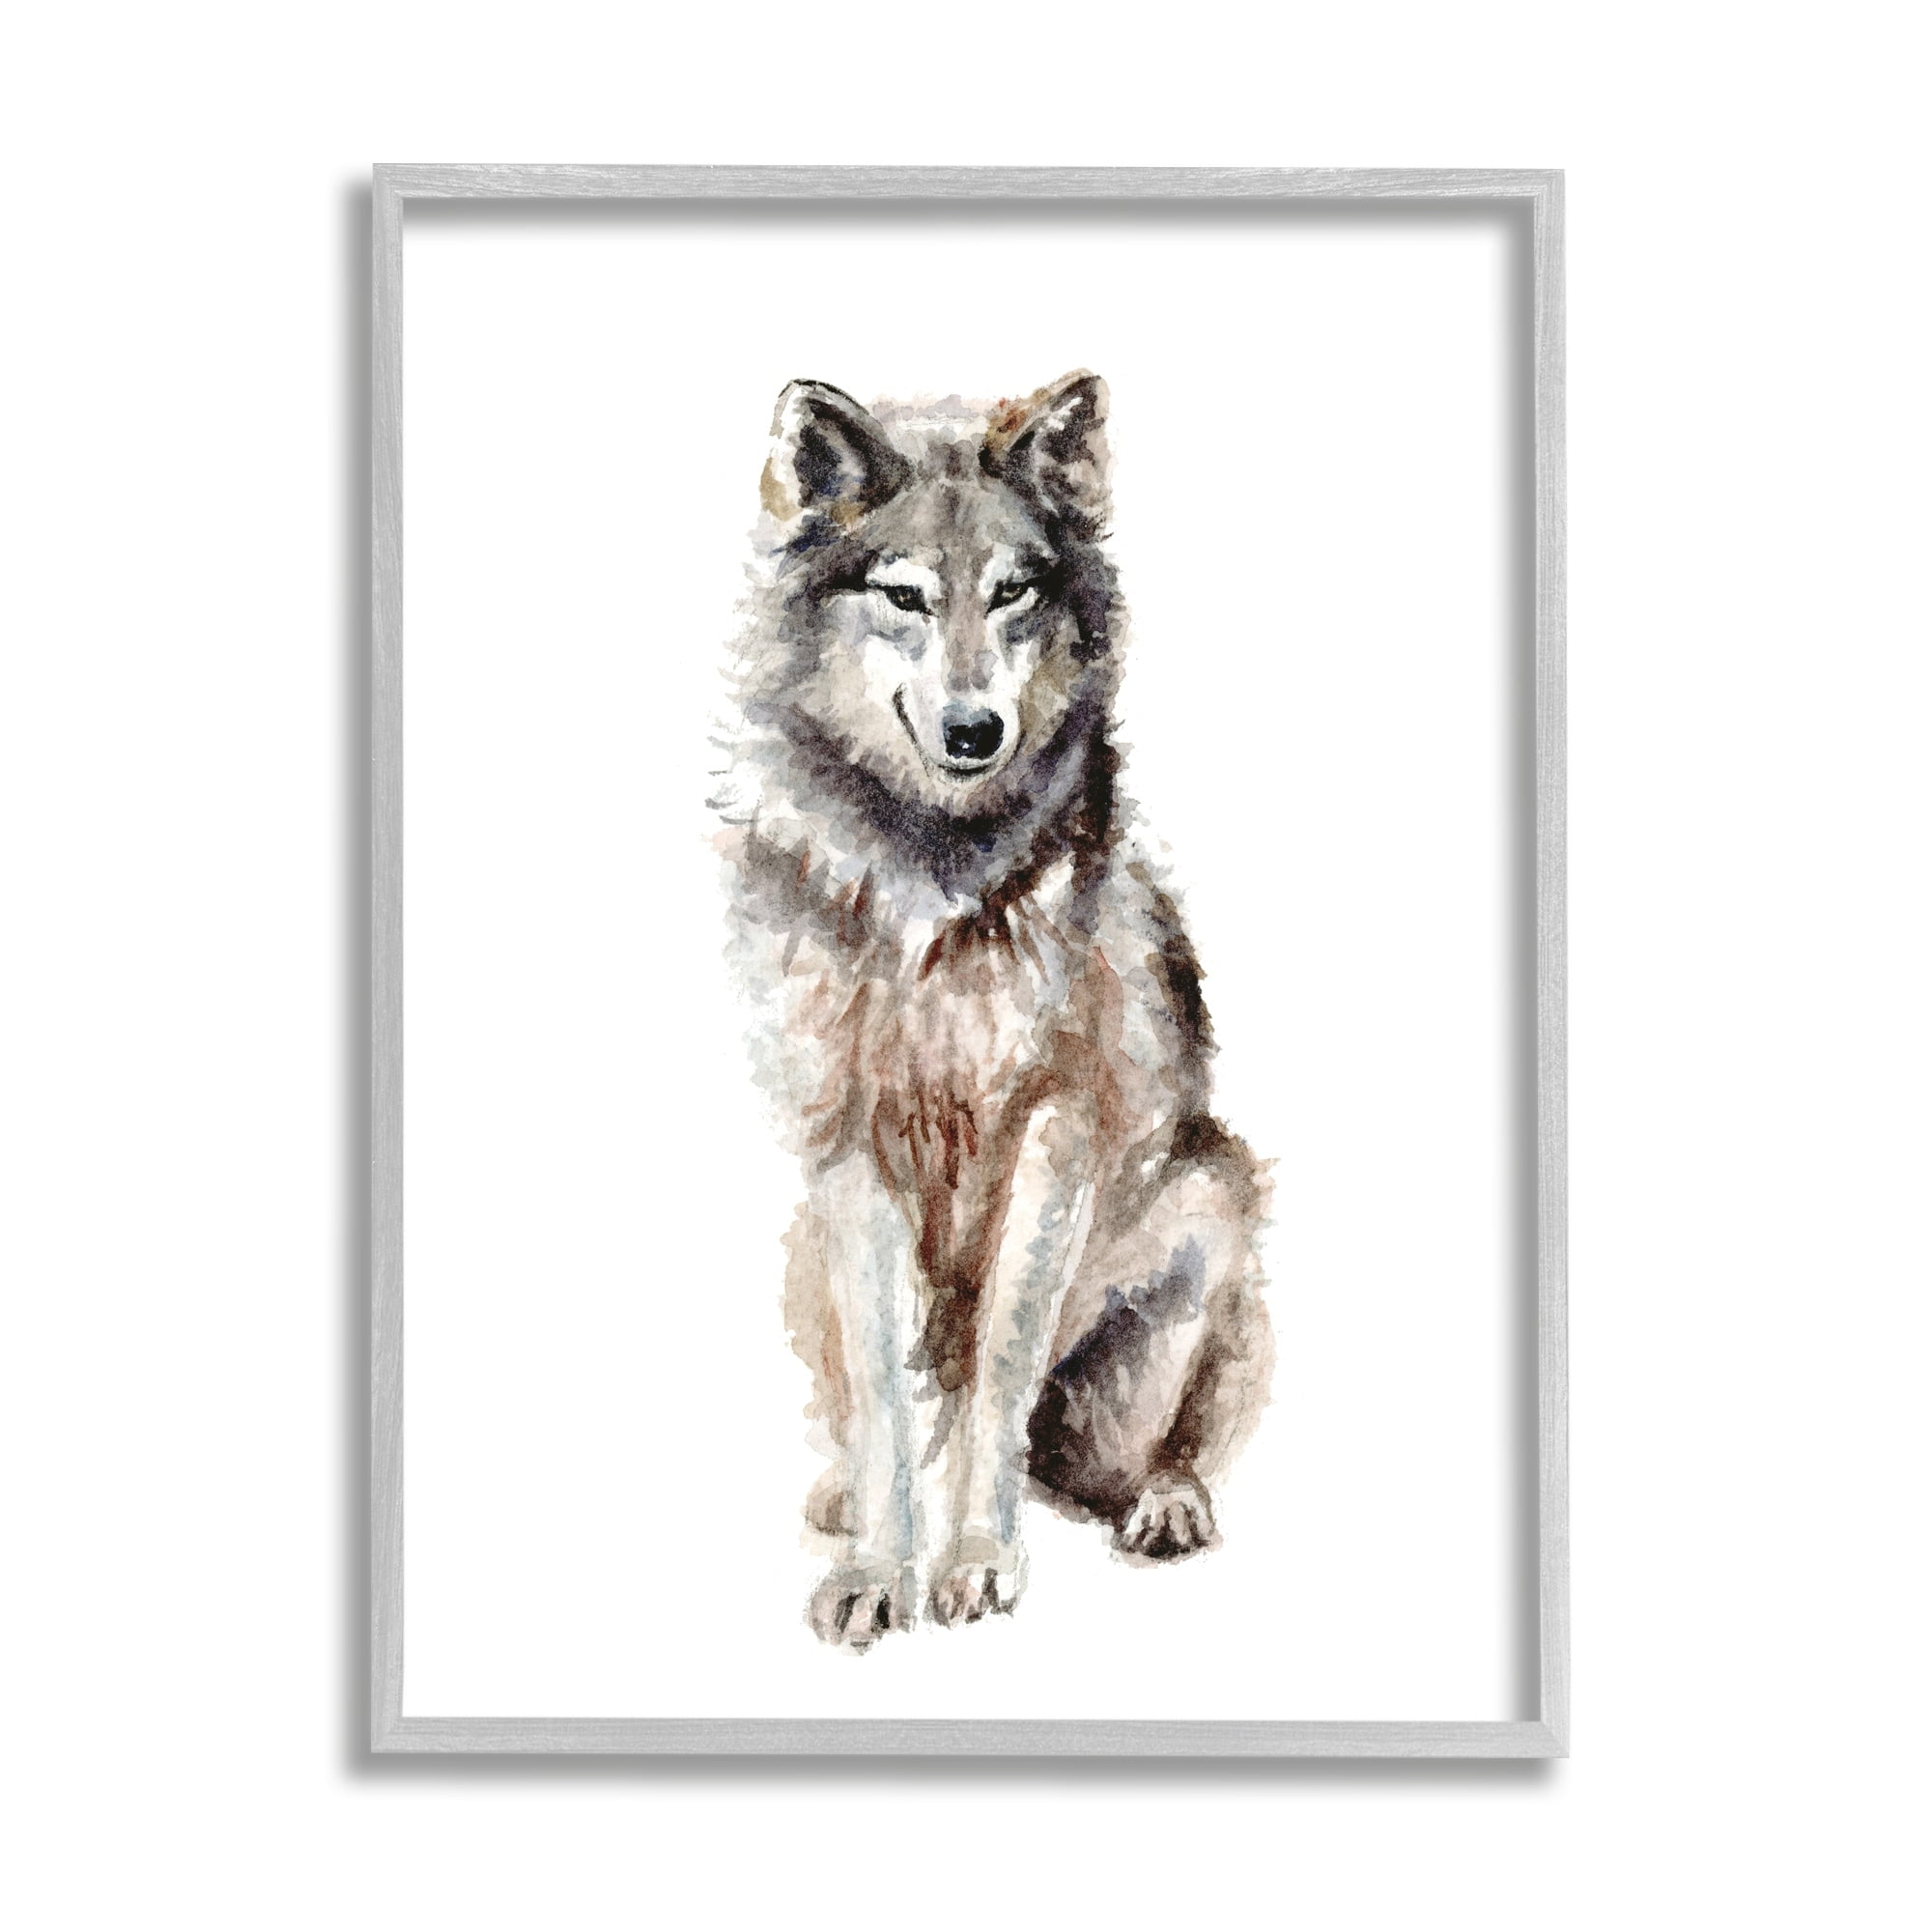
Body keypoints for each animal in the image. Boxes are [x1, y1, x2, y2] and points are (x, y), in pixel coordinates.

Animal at [714, 371, 1272, 1649]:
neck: (932, 874)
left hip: (1213, 1199)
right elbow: (885, 1391)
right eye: (904, 596)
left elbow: (997, 1365)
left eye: (1013, 591)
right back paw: (841, 1495)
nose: (976, 730)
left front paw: (973, 1560)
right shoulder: (849, 1140)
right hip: (800, 1249)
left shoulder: (1049, 1129)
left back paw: (1163, 1500)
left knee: (1133, 1444)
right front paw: (878, 1568)